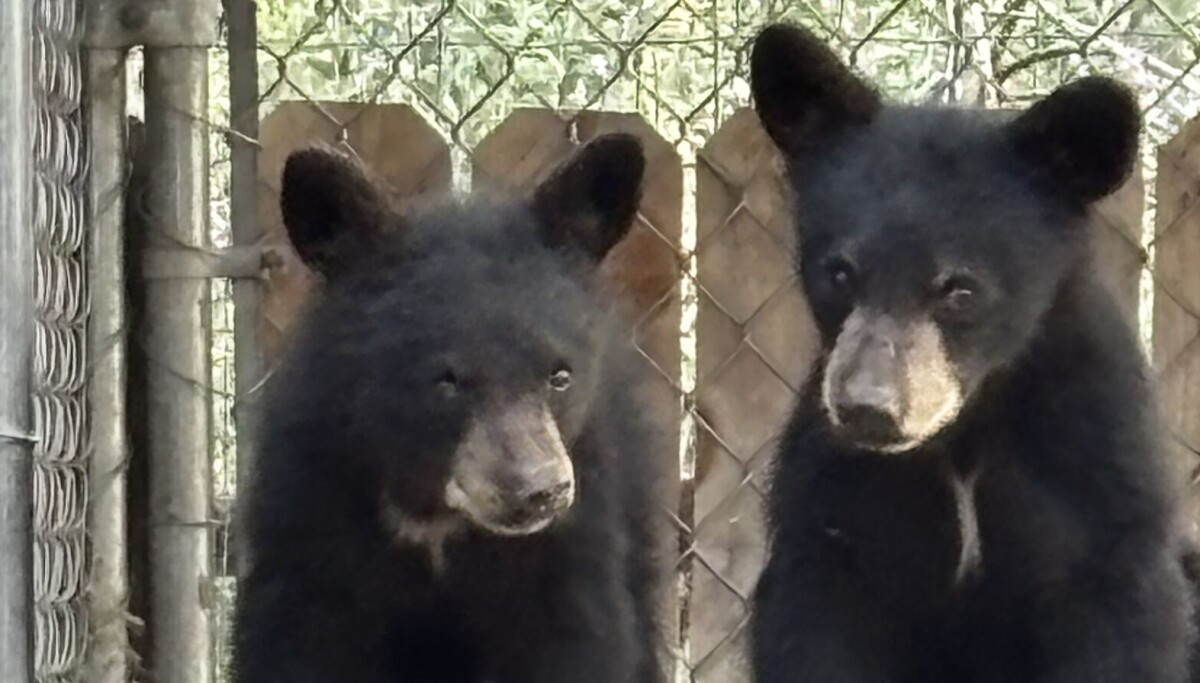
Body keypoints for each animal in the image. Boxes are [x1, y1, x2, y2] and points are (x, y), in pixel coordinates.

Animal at [232, 134, 671, 683]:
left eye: (560, 376)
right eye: (446, 381)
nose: (539, 491)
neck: (434, 513)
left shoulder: (572, 546)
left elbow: (577, 642)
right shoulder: (310, 517)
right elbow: (299, 643)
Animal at [746, 23, 1195, 683]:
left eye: (960, 289)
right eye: (839, 273)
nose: (867, 410)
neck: (965, 434)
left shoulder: (1099, 494)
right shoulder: (831, 519)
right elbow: (815, 630)